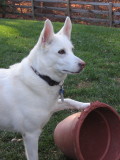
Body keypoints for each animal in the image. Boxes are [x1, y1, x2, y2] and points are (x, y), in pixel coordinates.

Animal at [0, 16, 90, 159]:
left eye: (72, 49)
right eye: (61, 52)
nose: (83, 64)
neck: (40, 76)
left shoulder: (52, 106)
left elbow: (68, 100)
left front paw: (85, 105)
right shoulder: (31, 135)